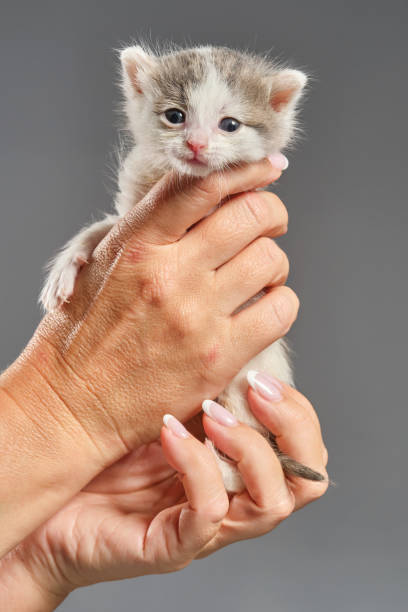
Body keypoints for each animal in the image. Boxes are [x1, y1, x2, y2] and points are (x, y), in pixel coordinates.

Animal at [39, 43, 326, 492]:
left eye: (230, 125)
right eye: (175, 116)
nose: (195, 144)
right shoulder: (131, 209)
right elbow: (104, 230)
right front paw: (65, 268)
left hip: (243, 383)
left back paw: (219, 468)